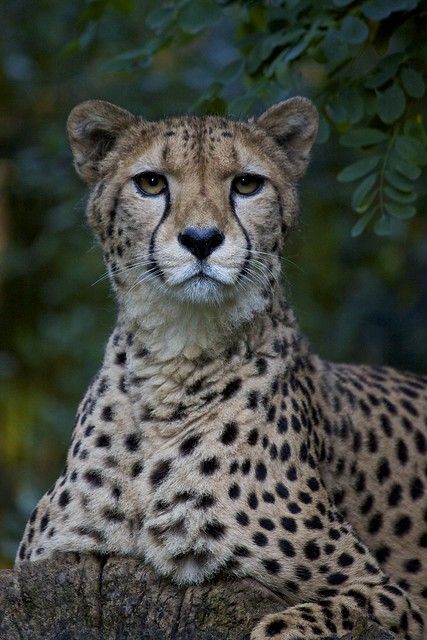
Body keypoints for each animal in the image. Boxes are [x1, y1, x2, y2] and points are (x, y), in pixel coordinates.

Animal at [15, 96, 427, 640]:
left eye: (247, 184)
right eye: (151, 183)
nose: (201, 239)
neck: (175, 362)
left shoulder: (390, 598)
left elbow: (293, 622)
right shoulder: (55, 558)